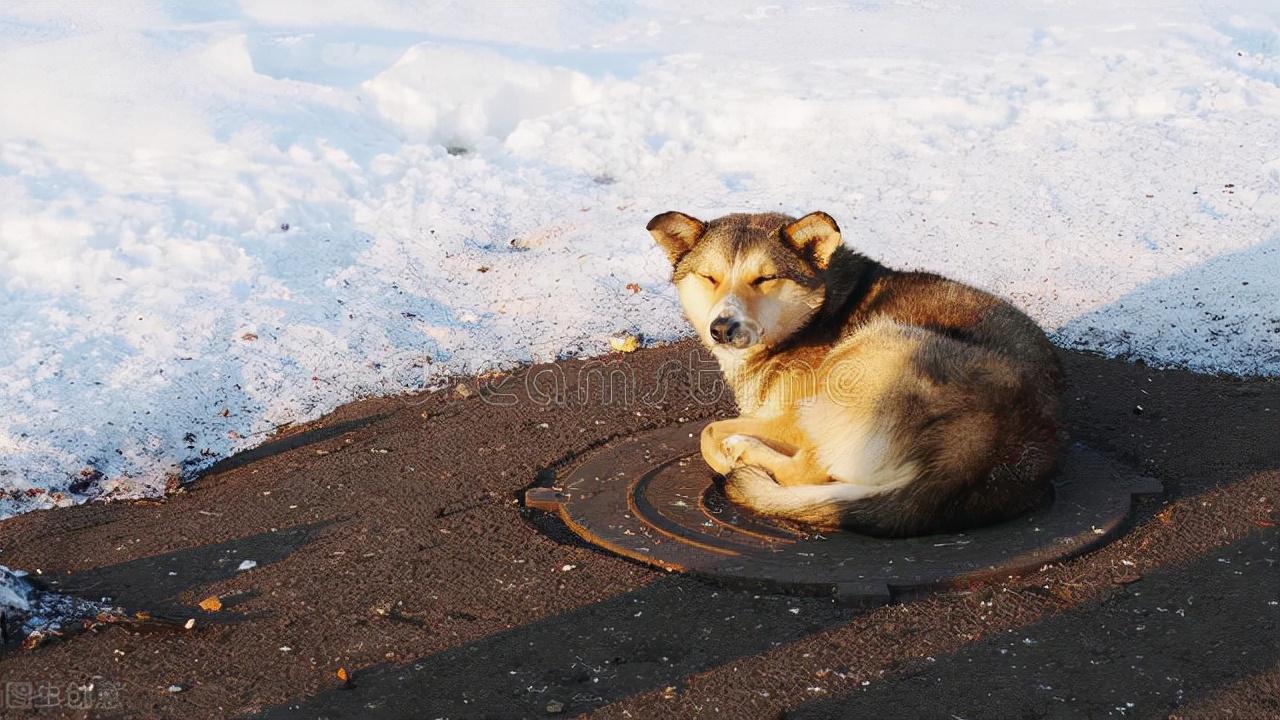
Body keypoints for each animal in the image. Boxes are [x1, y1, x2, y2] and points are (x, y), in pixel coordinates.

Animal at [645, 210, 1064, 535]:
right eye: (709, 277)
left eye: (765, 279)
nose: (721, 328)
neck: (816, 314)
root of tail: (976, 457)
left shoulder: (792, 419)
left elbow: (709, 433)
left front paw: (731, 456)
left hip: (869, 351)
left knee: (807, 470)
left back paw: (745, 454)